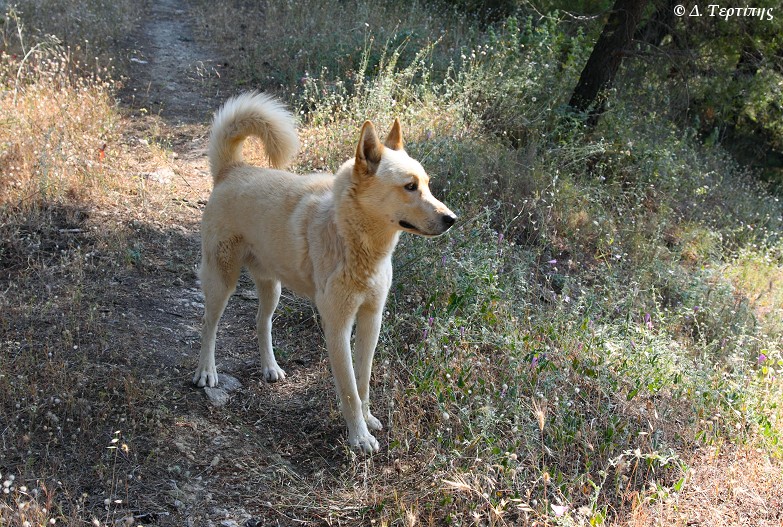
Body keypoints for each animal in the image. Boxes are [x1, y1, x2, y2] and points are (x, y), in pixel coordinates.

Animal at [193, 92, 456, 452]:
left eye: (427, 185)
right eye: (409, 186)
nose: (452, 219)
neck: (353, 240)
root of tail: (232, 169)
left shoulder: (371, 319)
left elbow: (363, 381)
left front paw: (368, 420)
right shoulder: (338, 327)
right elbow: (349, 390)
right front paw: (360, 437)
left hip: (272, 287)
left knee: (261, 323)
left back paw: (270, 367)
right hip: (221, 282)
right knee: (209, 325)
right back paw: (206, 372)